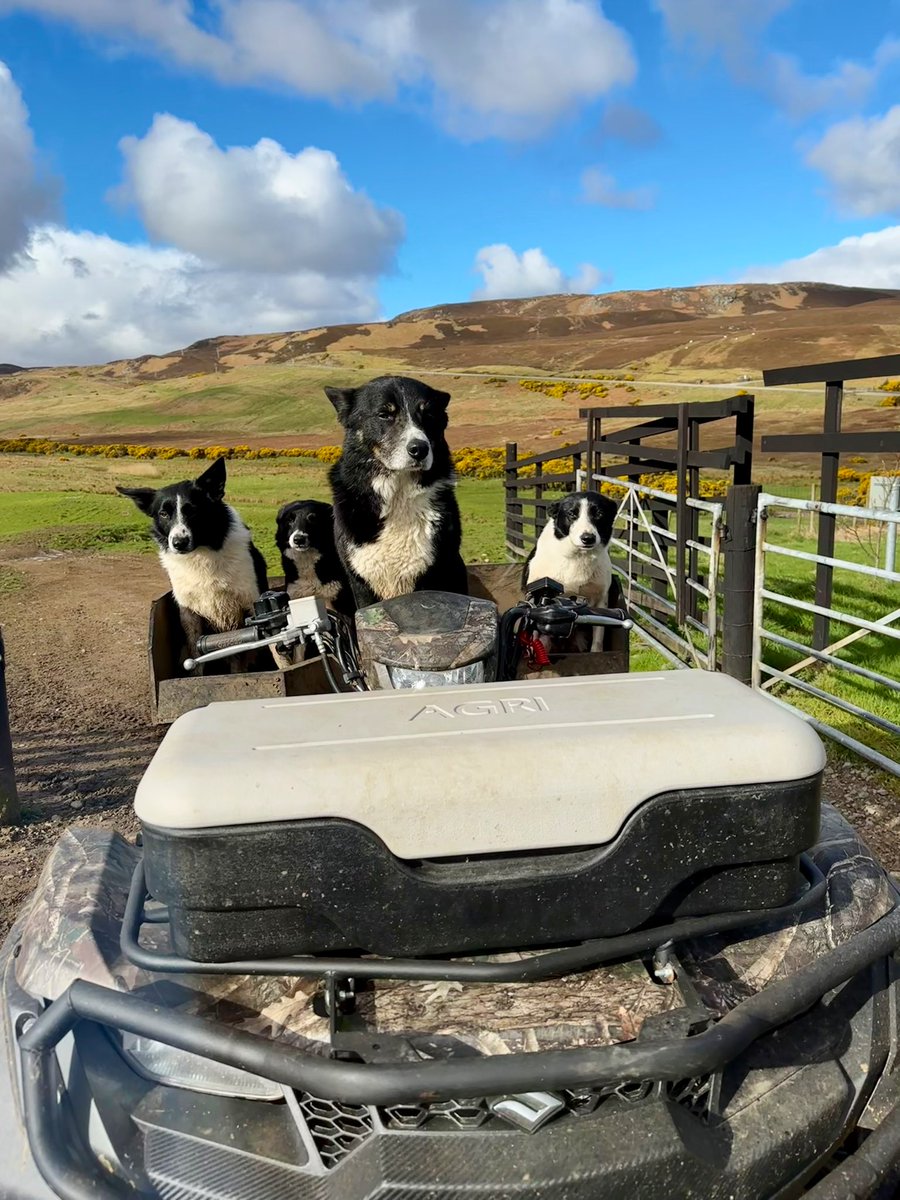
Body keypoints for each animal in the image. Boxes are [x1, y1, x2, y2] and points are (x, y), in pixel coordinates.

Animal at [115, 453, 267, 672]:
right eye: (163, 514)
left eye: (193, 511)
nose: (179, 543)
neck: (202, 553)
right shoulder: (190, 612)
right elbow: (196, 657)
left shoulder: (248, 604)